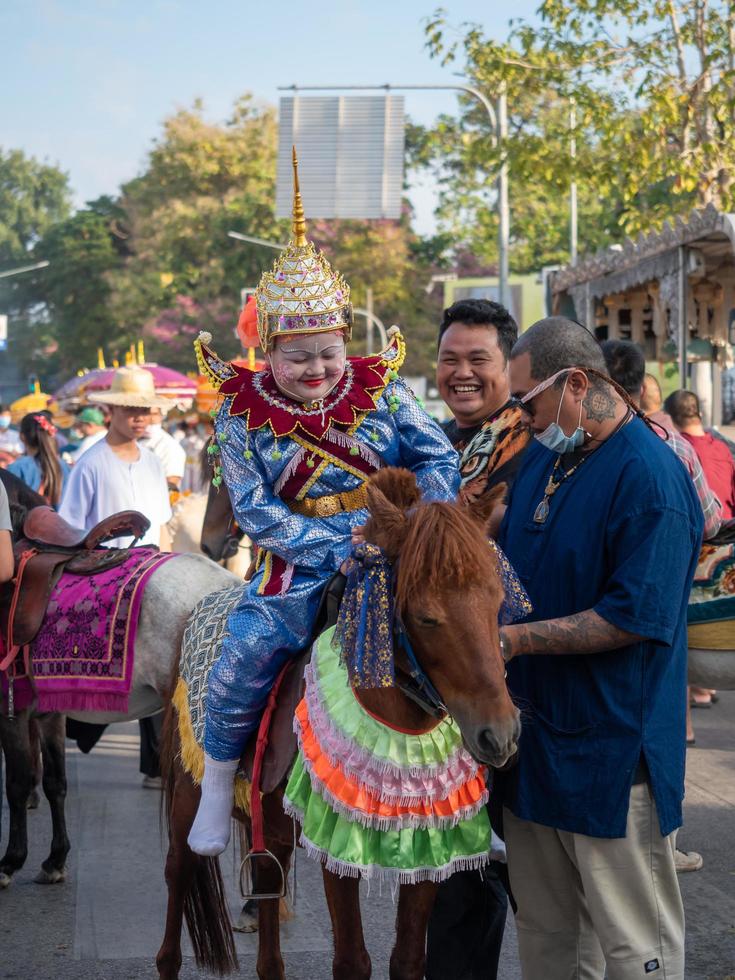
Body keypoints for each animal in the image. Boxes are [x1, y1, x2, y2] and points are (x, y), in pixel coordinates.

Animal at [157, 466, 520, 980]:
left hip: (272, 824)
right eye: (427, 617)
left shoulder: (431, 848)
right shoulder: (336, 844)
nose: (500, 734)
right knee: (178, 871)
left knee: (267, 888)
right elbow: (352, 960)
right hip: (188, 789)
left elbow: (408, 959)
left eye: (497, 600)